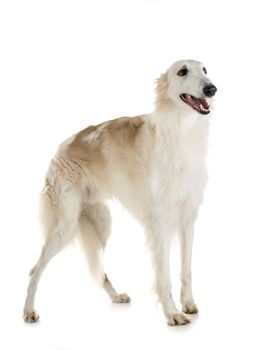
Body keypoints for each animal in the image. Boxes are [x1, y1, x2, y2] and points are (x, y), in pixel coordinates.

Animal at [23, 60, 217, 326]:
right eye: (182, 71)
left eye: (205, 70)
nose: (212, 89)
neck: (180, 131)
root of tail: (60, 149)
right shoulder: (159, 223)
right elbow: (164, 276)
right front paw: (173, 314)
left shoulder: (188, 218)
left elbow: (186, 269)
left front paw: (188, 304)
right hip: (66, 223)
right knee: (35, 269)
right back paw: (28, 311)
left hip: (101, 223)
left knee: (100, 271)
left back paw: (116, 296)